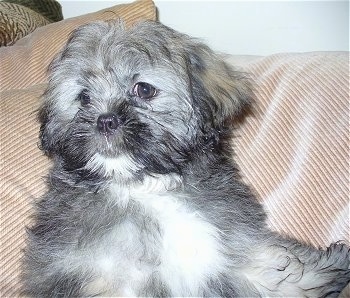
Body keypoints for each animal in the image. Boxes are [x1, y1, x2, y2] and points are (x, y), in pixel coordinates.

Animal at [23, 19, 348, 296]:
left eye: (143, 89)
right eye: (84, 97)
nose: (104, 120)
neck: (142, 186)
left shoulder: (230, 251)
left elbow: (274, 270)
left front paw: (331, 270)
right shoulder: (93, 275)